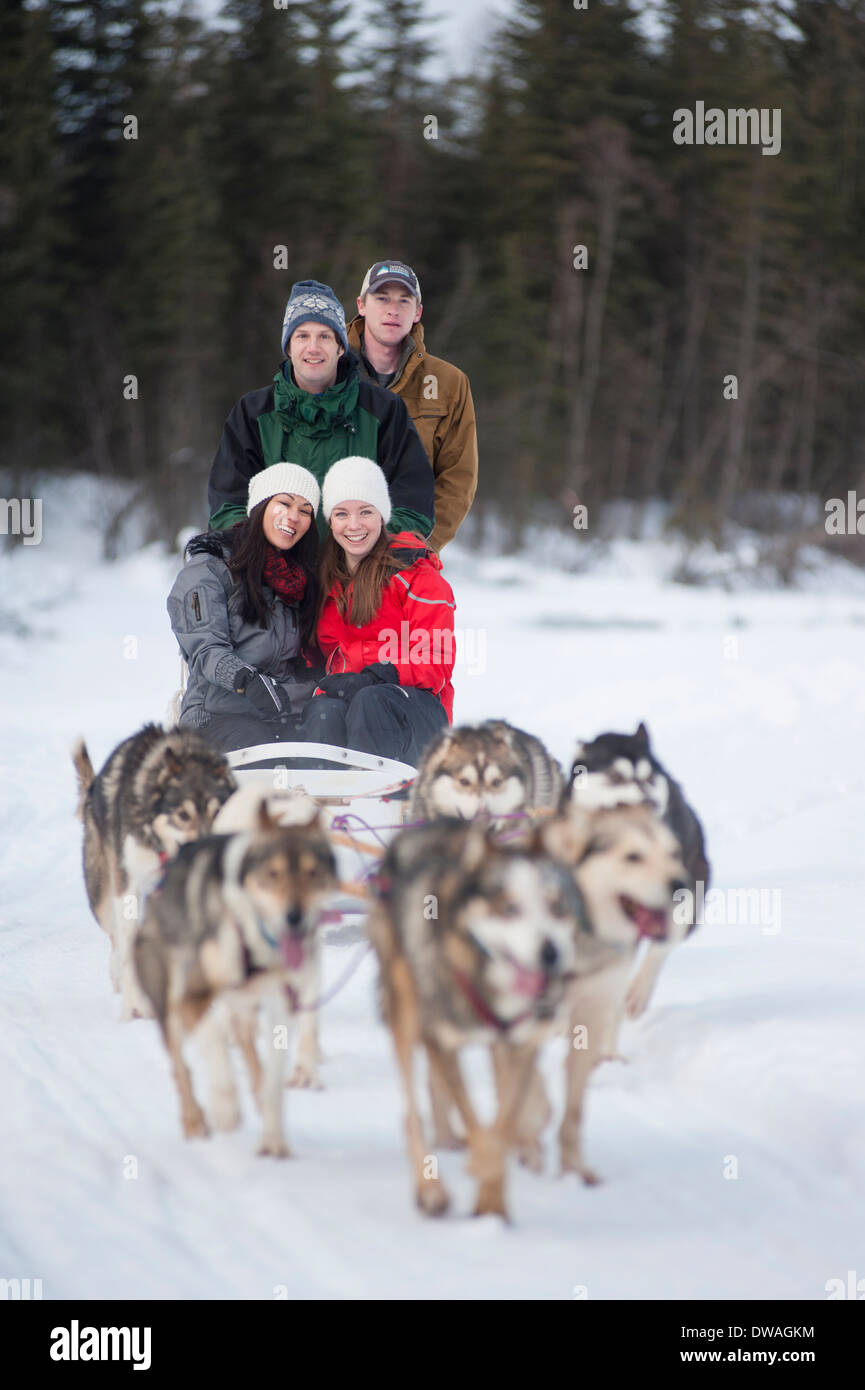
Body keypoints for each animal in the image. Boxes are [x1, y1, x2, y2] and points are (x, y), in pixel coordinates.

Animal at [72, 722, 235, 1017]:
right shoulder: (129, 888)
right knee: (117, 940)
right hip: (103, 897)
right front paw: (135, 1006)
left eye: (217, 812)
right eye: (183, 815)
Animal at [132, 800, 339, 1156]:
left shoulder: (283, 1000)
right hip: (168, 999)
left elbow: (273, 1072)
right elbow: (213, 1037)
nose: (295, 918)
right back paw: (195, 1120)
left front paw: (273, 1137)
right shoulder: (193, 995)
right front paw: (225, 1105)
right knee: (181, 1065)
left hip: (246, 1001)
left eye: (313, 873)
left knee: (246, 1044)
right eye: (273, 873)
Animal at [369, 817, 620, 1223]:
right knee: (413, 1113)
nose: (550, 952)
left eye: (557, 907)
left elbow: (502, 1129)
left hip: (497, 1047)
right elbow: (473, 1120)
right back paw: (430, 1190)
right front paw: (478, 1172)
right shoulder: (439, 1039)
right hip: (406, 1010)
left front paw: (492, 1204)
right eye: (510, 908)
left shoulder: (522, 1045)